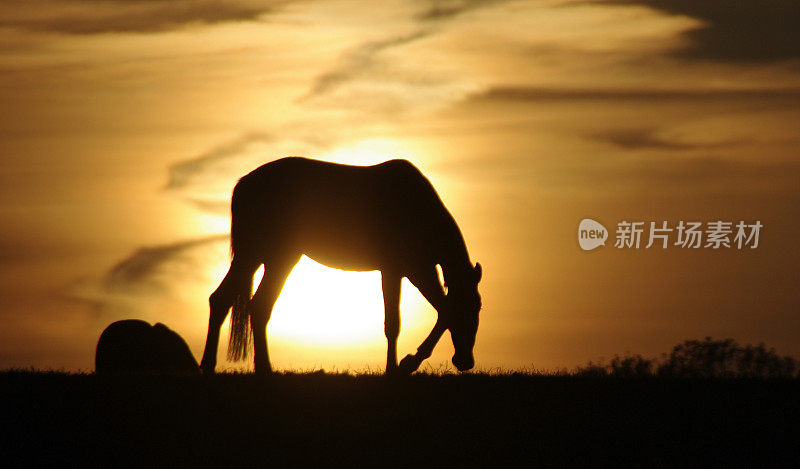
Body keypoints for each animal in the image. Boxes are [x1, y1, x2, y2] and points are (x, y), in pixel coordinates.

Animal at [199, 156, 482, 372]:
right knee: (250, 304)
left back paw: (215, 367)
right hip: (269, 255)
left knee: (231, 301)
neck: (419, 211)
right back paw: (259, 370)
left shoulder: (417, 269)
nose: (465, 362)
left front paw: (407, 363)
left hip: (265, 256)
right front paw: (398, 368)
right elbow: (398, 322)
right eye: (475, 308)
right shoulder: (399, 270)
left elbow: (442, 310)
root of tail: (244, 184)